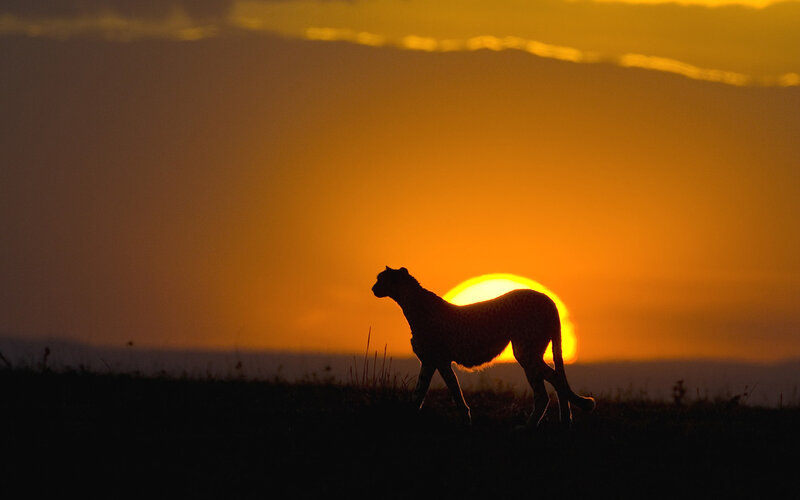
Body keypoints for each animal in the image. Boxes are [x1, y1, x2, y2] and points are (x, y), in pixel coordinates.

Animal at [372, 266, 595, 427]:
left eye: (380, 279)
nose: (373, 288)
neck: (410, 303)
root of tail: (547, 298)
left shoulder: (440, 360)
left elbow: (454, 391)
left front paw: (465, 420)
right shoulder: (430, 362)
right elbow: (420, 393)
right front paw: (410, 416)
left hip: (525, 352)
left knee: (550, 385)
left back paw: (530, 426)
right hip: (532, 352)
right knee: (554, 382)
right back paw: (562, 421)